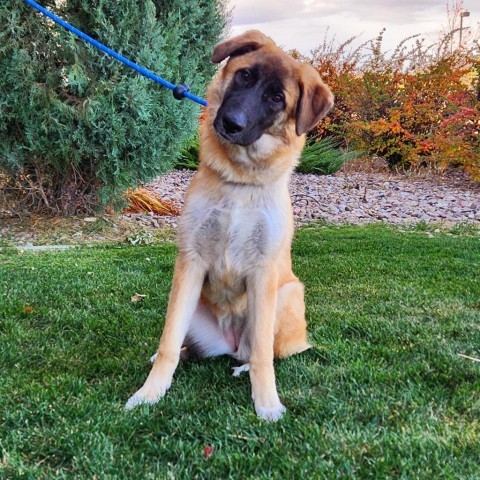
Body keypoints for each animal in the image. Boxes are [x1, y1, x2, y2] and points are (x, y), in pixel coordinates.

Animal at [124, 31, 334, 420]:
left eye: (277, 98)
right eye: (245, 76)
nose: (230, 123)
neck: (240, 181)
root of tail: (231, 343)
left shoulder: (264, 272)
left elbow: (264, 356)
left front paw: (267, 403)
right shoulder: (190, 263)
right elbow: (168, 342)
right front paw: (149, 393)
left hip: (286, 294)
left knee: (263, 351)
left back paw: (245, 365)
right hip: (190, 304)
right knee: (184, 343)